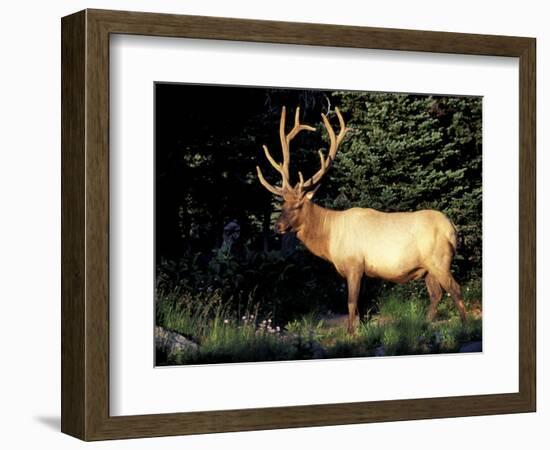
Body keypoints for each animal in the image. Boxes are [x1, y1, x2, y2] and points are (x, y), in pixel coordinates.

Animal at [256, 104, 468, 330]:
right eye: (282, 204)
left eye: (297, 205)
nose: (277, 227)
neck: (329, 240)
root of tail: (453, 229)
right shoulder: (364, 271)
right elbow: (361, 307)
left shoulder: (354, 264)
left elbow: (350, 303)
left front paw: (350, 332)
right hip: (427, 268)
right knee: (436, 294)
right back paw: (424, 325)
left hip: (440, 260)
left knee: (455, 289)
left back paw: (465, 325)